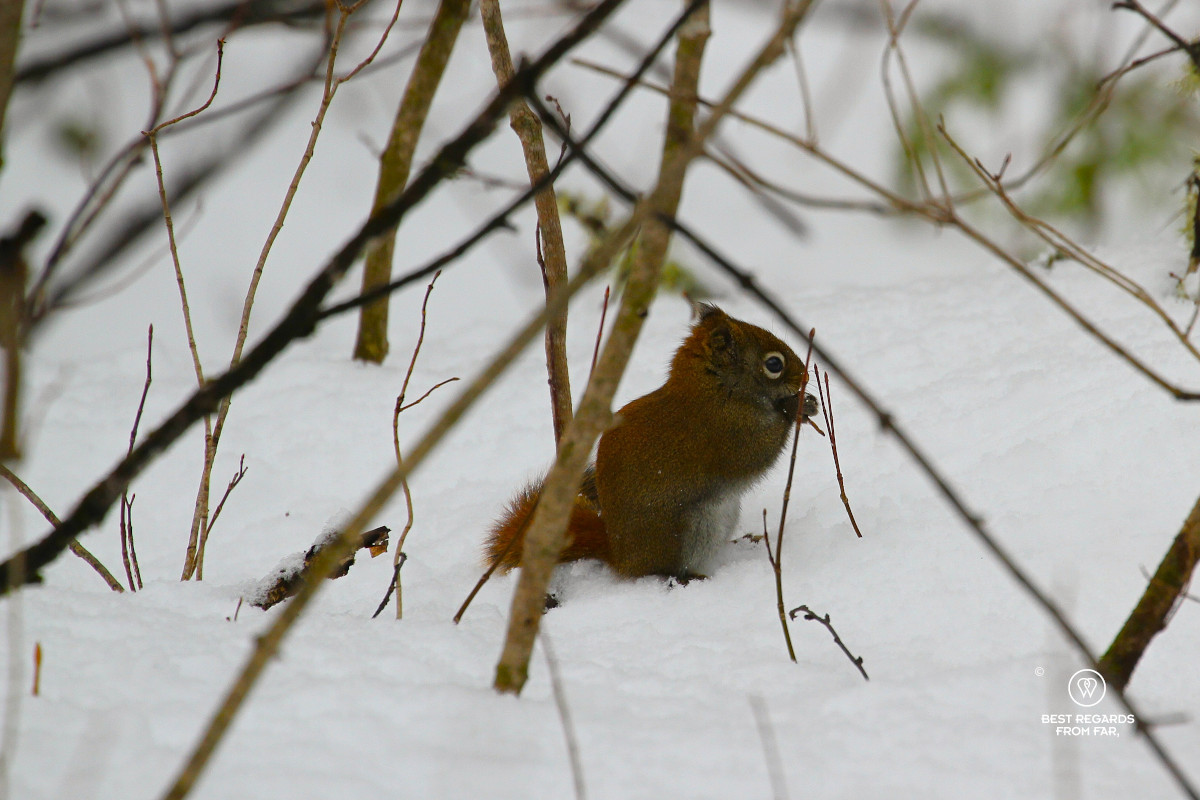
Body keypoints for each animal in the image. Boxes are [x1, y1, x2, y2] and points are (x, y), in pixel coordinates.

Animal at [484, 304, 818, 581]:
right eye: (773, 364)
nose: (804, 377)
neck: (715, 388)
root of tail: (620, 556)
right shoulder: (727, 433)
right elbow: (757, 452)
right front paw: (796, 408)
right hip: (691, 527)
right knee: (665, 569)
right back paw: (691, 577)